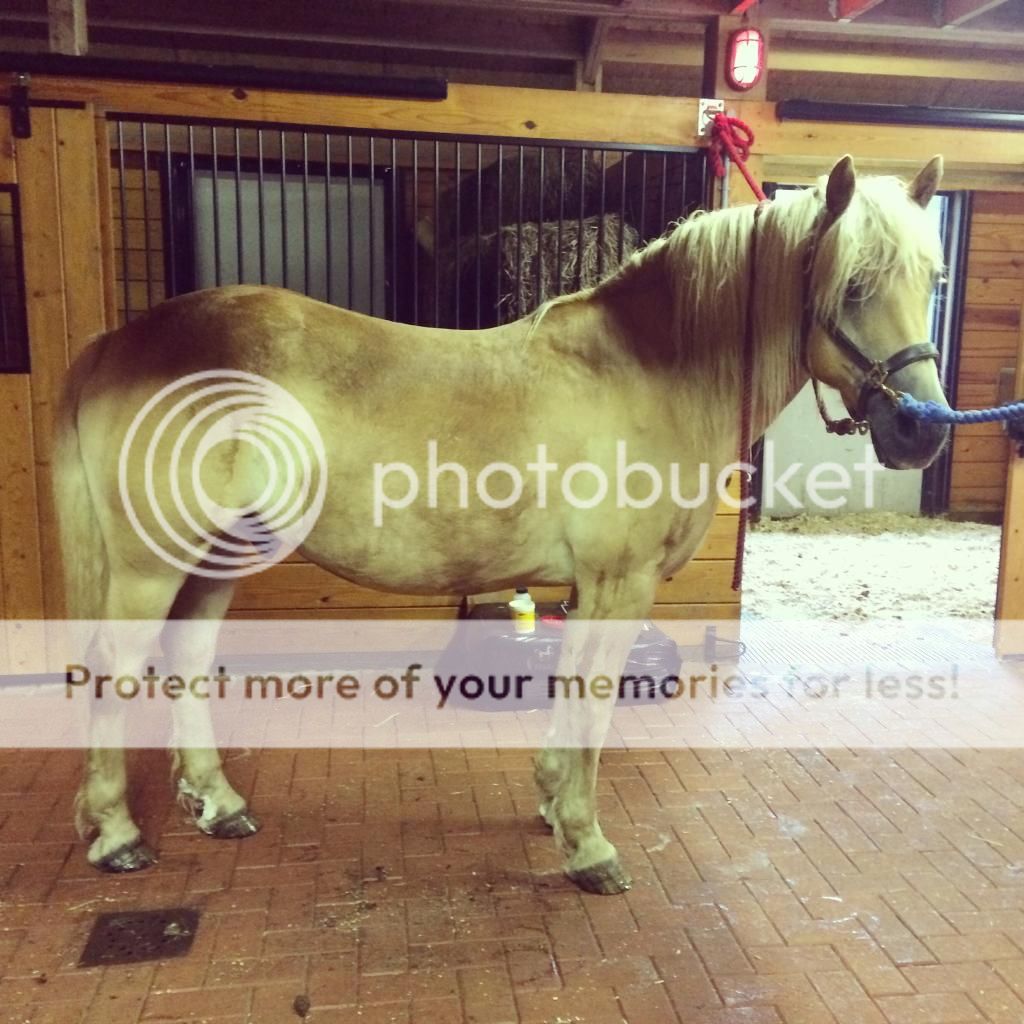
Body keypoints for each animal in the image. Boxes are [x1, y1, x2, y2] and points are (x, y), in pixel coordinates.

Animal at [53, 154, 949, 894]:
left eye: (933, 281)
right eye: (852, 285)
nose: (922, 429)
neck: (652, 368)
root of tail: (118, 343)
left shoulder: (589, 588)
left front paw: (554, 807)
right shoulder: (619, 584)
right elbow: (593, 704)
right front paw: (588, 847)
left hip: (219, 556)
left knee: (186, 659)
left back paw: (218, 804)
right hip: (151, 566)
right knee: (113, 667)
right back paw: (118, 836)